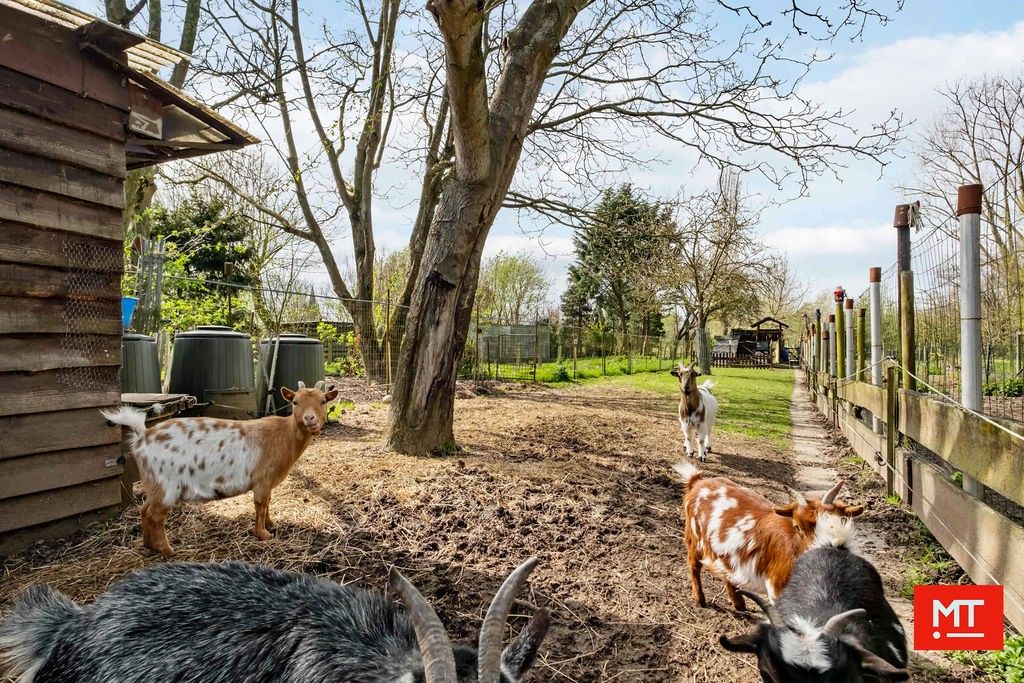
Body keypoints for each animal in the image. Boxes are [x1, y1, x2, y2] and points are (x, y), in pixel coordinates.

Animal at [102, 376, 337, 557]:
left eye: (323, 401)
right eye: (295, 402)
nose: (310, 419)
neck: (284, 435)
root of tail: (143, 436)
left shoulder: (268, 483)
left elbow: (268, 503)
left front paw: (271, 525)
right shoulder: (262, 480)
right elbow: (260, 505)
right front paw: (263, 534)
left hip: (153, 485)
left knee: (144, 510)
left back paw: (147, 545)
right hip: (166, 485)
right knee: (155, 516)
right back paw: (167, 550)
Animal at [671, 462, 864, 610]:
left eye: (841, 521)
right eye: (797, 526)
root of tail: (698, 482)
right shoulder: (776, 590)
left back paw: (739, 603)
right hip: (693, 539)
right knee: (694, 566)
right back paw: (700, 600)